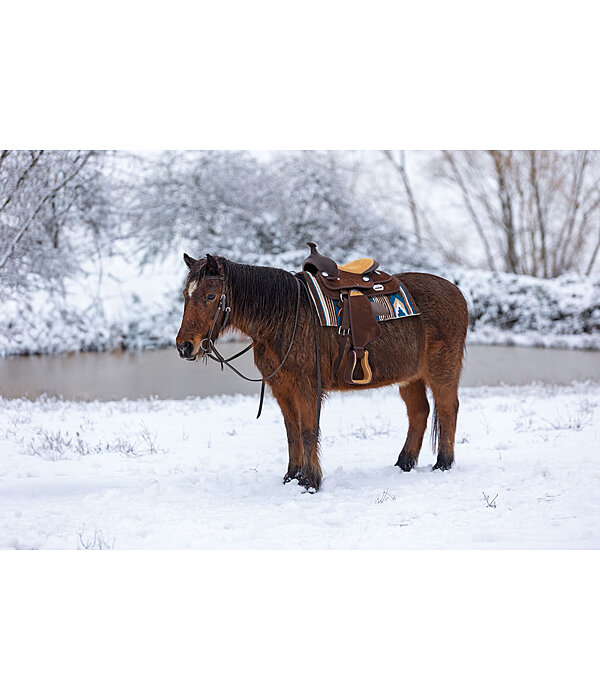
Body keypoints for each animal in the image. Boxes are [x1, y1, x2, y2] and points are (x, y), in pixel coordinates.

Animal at [175, 252, 469, 492]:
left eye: (210, 296)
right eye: (185, 295)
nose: (184, 346)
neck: (287, 317)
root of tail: (456, 291)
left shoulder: (307, 387)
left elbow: (308, 431)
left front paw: (310, 481)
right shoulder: (282, 388)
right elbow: (292, 432)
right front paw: (291, 477)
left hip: (442, 370)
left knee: (447, 409)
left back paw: (443, 464)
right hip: (411, 377)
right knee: (419, 412)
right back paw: (404, 463)